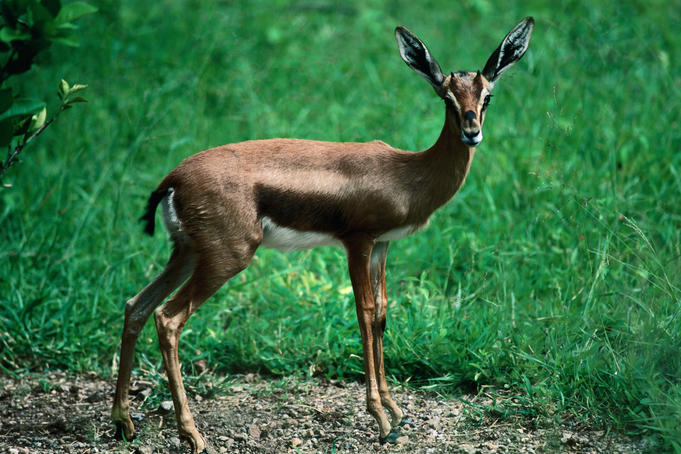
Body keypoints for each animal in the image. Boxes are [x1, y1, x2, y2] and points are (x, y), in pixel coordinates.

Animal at [111, 17, 534, 453]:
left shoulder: (382, 246)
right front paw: (382, 420)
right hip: (225, 258)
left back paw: (124, 422)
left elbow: (382, 314)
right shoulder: (357, 242)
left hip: (187, 253)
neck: (407, 174)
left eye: (487, 96)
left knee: (136, 306)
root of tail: (173, 178)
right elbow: (365, 312)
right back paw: (192, 435)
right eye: (447, 97)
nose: (472, 132)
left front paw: (397, 414)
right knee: (168, 318)